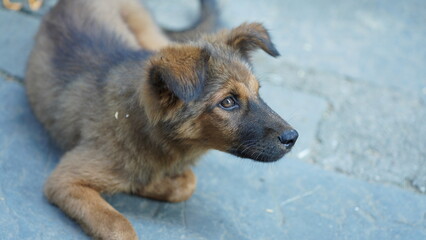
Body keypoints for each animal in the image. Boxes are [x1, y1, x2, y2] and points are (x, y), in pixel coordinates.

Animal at [25, 0, 298, 238]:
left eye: (258, 91)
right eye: (228, 102)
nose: (293, 138)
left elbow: (187, 183)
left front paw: (147, 184)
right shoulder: (65, 180)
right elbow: (119, 226)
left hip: (152, 38)